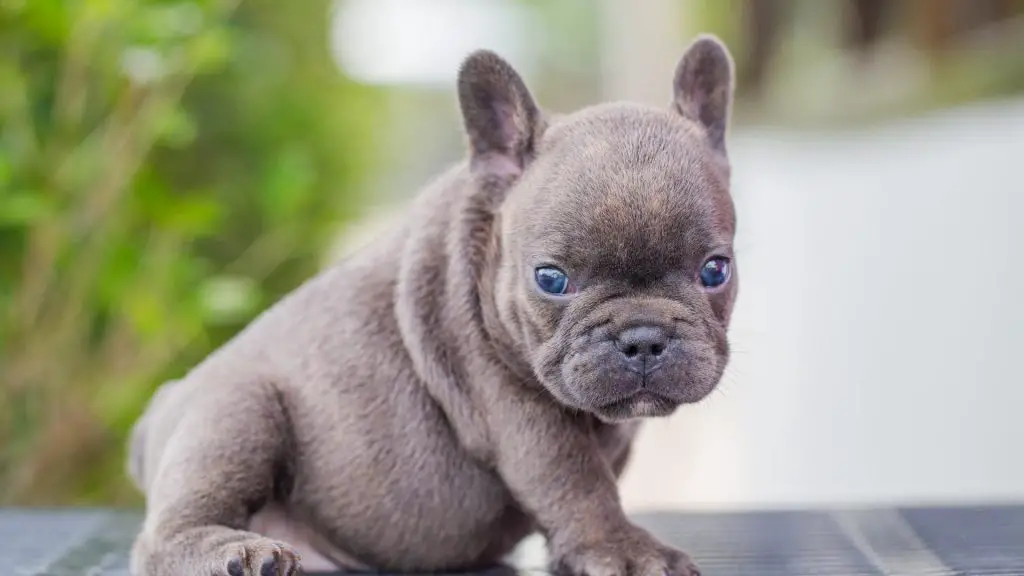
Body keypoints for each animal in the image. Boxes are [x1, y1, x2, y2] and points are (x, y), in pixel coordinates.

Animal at [128, 32, 741, 573]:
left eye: (715, 270)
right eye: (551, 279)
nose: (643, 337)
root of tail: (161, 408)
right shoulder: (518, 408)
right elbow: (577, 483)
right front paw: (623, 548)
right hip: (235, 414)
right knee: (165, 533)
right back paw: (238, 551)